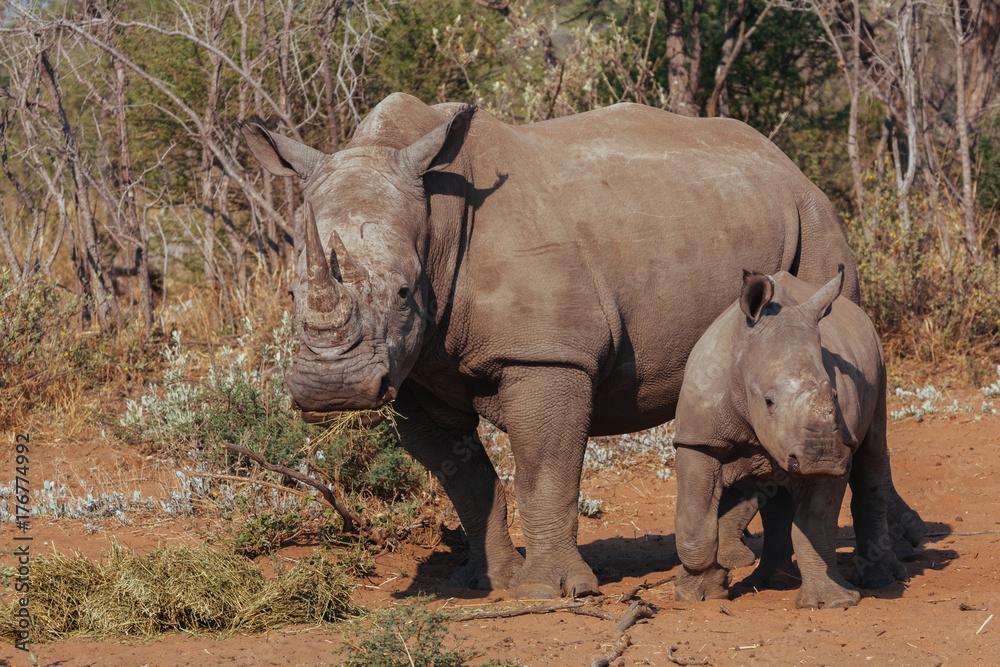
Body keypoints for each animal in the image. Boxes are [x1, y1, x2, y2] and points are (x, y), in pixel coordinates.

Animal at [673, 267, 912, 609]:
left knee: (873, 452)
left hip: (878, 362)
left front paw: (833, 602)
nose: (822, 457)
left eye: (835, 396)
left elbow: (816, 524)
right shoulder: (699, 439)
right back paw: (772, 582)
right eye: (768, 401)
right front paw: (699, 594)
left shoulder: (839, 445)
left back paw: (880, 580)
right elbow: (694, 521)